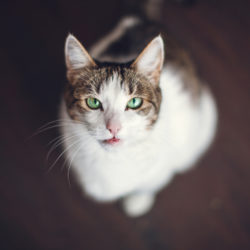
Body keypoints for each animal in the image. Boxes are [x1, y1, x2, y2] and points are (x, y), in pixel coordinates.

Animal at [58, 0, 217, 216]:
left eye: (134, 102)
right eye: (93, 102)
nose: (113, 127)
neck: (114, 160)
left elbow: (150, 183)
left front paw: (139, 199)